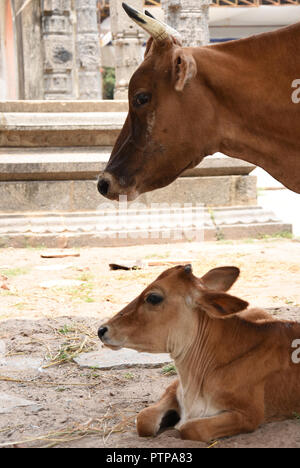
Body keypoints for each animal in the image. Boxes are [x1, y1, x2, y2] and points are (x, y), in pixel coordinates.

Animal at [99, 266, 300, 442]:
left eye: (154, 297)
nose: (102, 330)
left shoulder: (250, 414)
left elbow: (190, 428)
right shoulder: (174, 387)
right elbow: (144, 419)